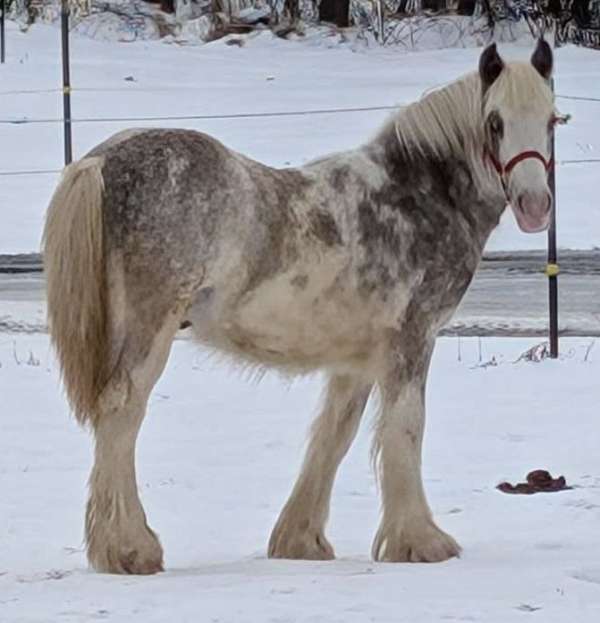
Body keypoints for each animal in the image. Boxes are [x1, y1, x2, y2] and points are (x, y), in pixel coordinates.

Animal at [44, 40, 556, 576]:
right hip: (149, 328)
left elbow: (334, 435)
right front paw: (420, 542)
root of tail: (101, 161)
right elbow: (405, 429)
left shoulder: (356, 361)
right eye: (495, 122)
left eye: (552, 119)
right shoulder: (413, 340)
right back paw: (129, 549)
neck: (414, 196)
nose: (534, 205)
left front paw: (300, 540)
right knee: (122, 411)